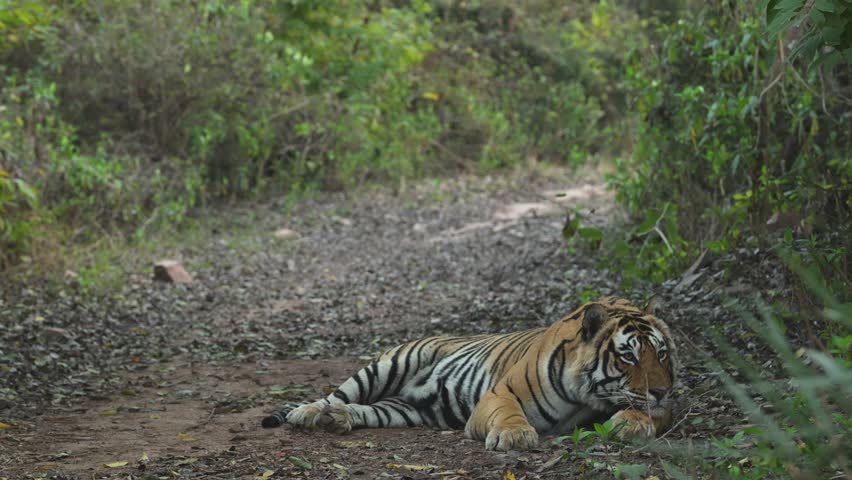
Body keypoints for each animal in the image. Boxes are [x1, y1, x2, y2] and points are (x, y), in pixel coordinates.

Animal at [261, 297, 677, 451]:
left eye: (661, 353)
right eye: (628, 356)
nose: (660, 390)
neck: (586, 396)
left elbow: (655, 415)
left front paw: (633, 423)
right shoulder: (498, 394)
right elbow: (508, 414)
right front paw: (514, 436)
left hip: (403, 411)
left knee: (365, 409)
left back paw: (338, 420)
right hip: (386, 366)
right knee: (336, 394)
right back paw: (309, 414)